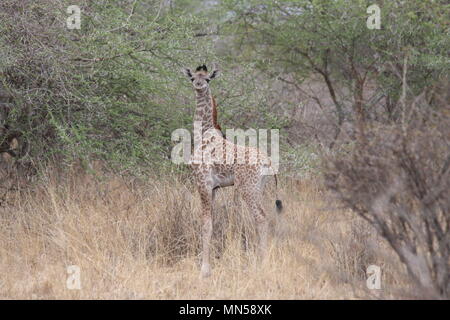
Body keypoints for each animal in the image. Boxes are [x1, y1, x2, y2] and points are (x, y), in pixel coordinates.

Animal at [182, 64, 282, 278]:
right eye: (193, 77)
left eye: (207, 79)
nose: (198, 85)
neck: (202, 134)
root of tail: (268, 162)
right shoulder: (214, 188)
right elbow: (212, 222)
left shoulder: (203, 182)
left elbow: (206, 224)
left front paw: (204, 270)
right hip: (258, 188)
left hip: (247, 188)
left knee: (261, 217)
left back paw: (261, 264)